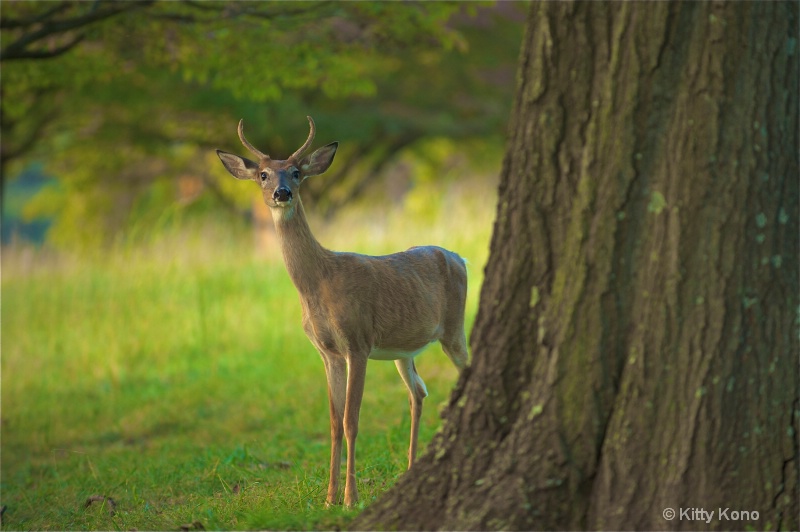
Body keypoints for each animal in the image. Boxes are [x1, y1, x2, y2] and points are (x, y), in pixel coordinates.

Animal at [216, 116, 472, 508]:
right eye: (263, 174)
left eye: (296, 172)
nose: (282, 193)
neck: (319, 283)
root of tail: (461, 258)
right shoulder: (328, 352)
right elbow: (334, 424)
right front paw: (329, 497)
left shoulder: (358, 342)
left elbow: (352, 420)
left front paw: (350, 498)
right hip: (403, 349)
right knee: (418, 392)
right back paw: (409, 468)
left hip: (454, 329)